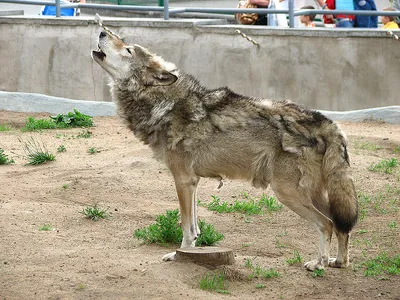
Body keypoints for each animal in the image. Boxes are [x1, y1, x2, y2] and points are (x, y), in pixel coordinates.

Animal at [91, 29, 360, 270]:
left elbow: (185, 227)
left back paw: (319, 264)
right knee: (341, 225)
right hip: (312, 194)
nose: (102, 31)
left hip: (287, 193)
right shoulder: (193, 182)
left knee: (326, 224)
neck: (165, 103)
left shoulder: (183, 179)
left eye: (127, 49)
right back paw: (339, 262)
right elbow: (195, 227)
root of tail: (329, 123)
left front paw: (179, 257)